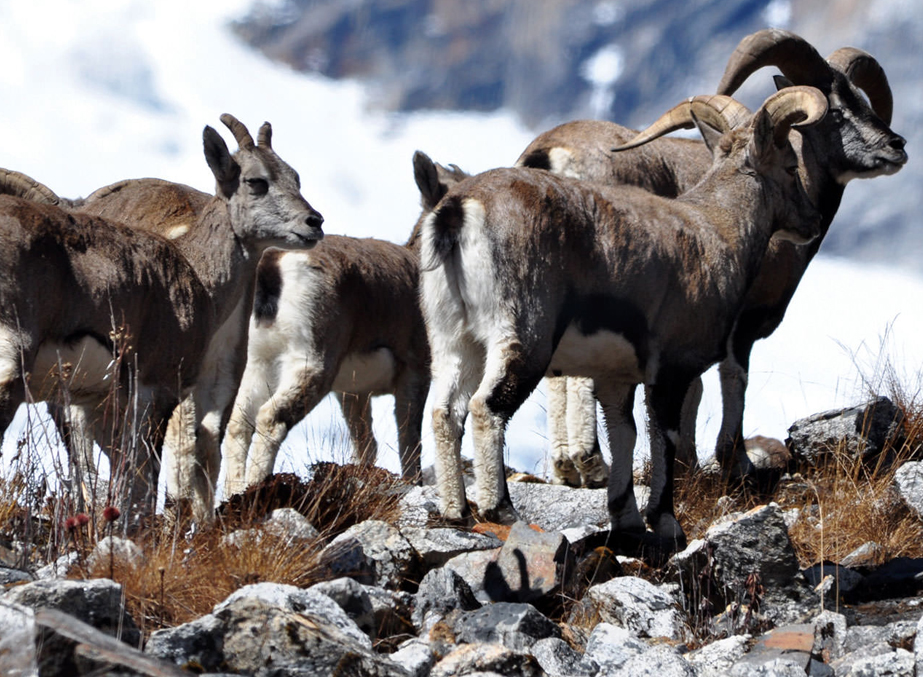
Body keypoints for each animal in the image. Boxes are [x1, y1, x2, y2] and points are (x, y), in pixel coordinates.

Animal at [222, 152, 470, 492]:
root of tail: (273, 267)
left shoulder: (353, 395)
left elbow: (366, 447)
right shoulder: (414, 375)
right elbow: (409, 445)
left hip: (259, 364)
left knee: (238, 424)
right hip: (312, 365)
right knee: (271, 419)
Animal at [422, 88, 828, 556]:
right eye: (790, 165)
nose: (812, 222)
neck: (717, 230)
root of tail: (458, 211)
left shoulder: (616, 376)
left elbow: (625, 433)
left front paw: (627, 520)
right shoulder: (672, 368)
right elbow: (664, 438)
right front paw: (666, 524)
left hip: (454, 339)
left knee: (444, 411)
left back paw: (456, 510)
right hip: (522, 333)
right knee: (485, 408)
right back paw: (500, 509)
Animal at [520, 30, 908, 480]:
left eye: (862, 100)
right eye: (838, 111)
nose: (896, 146)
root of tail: (551, 158)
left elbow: (694, 388)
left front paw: (686, 463)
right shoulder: (740, 323)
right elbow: (731, 378)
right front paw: (735, 461)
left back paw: (568, 467)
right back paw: (591, 461)